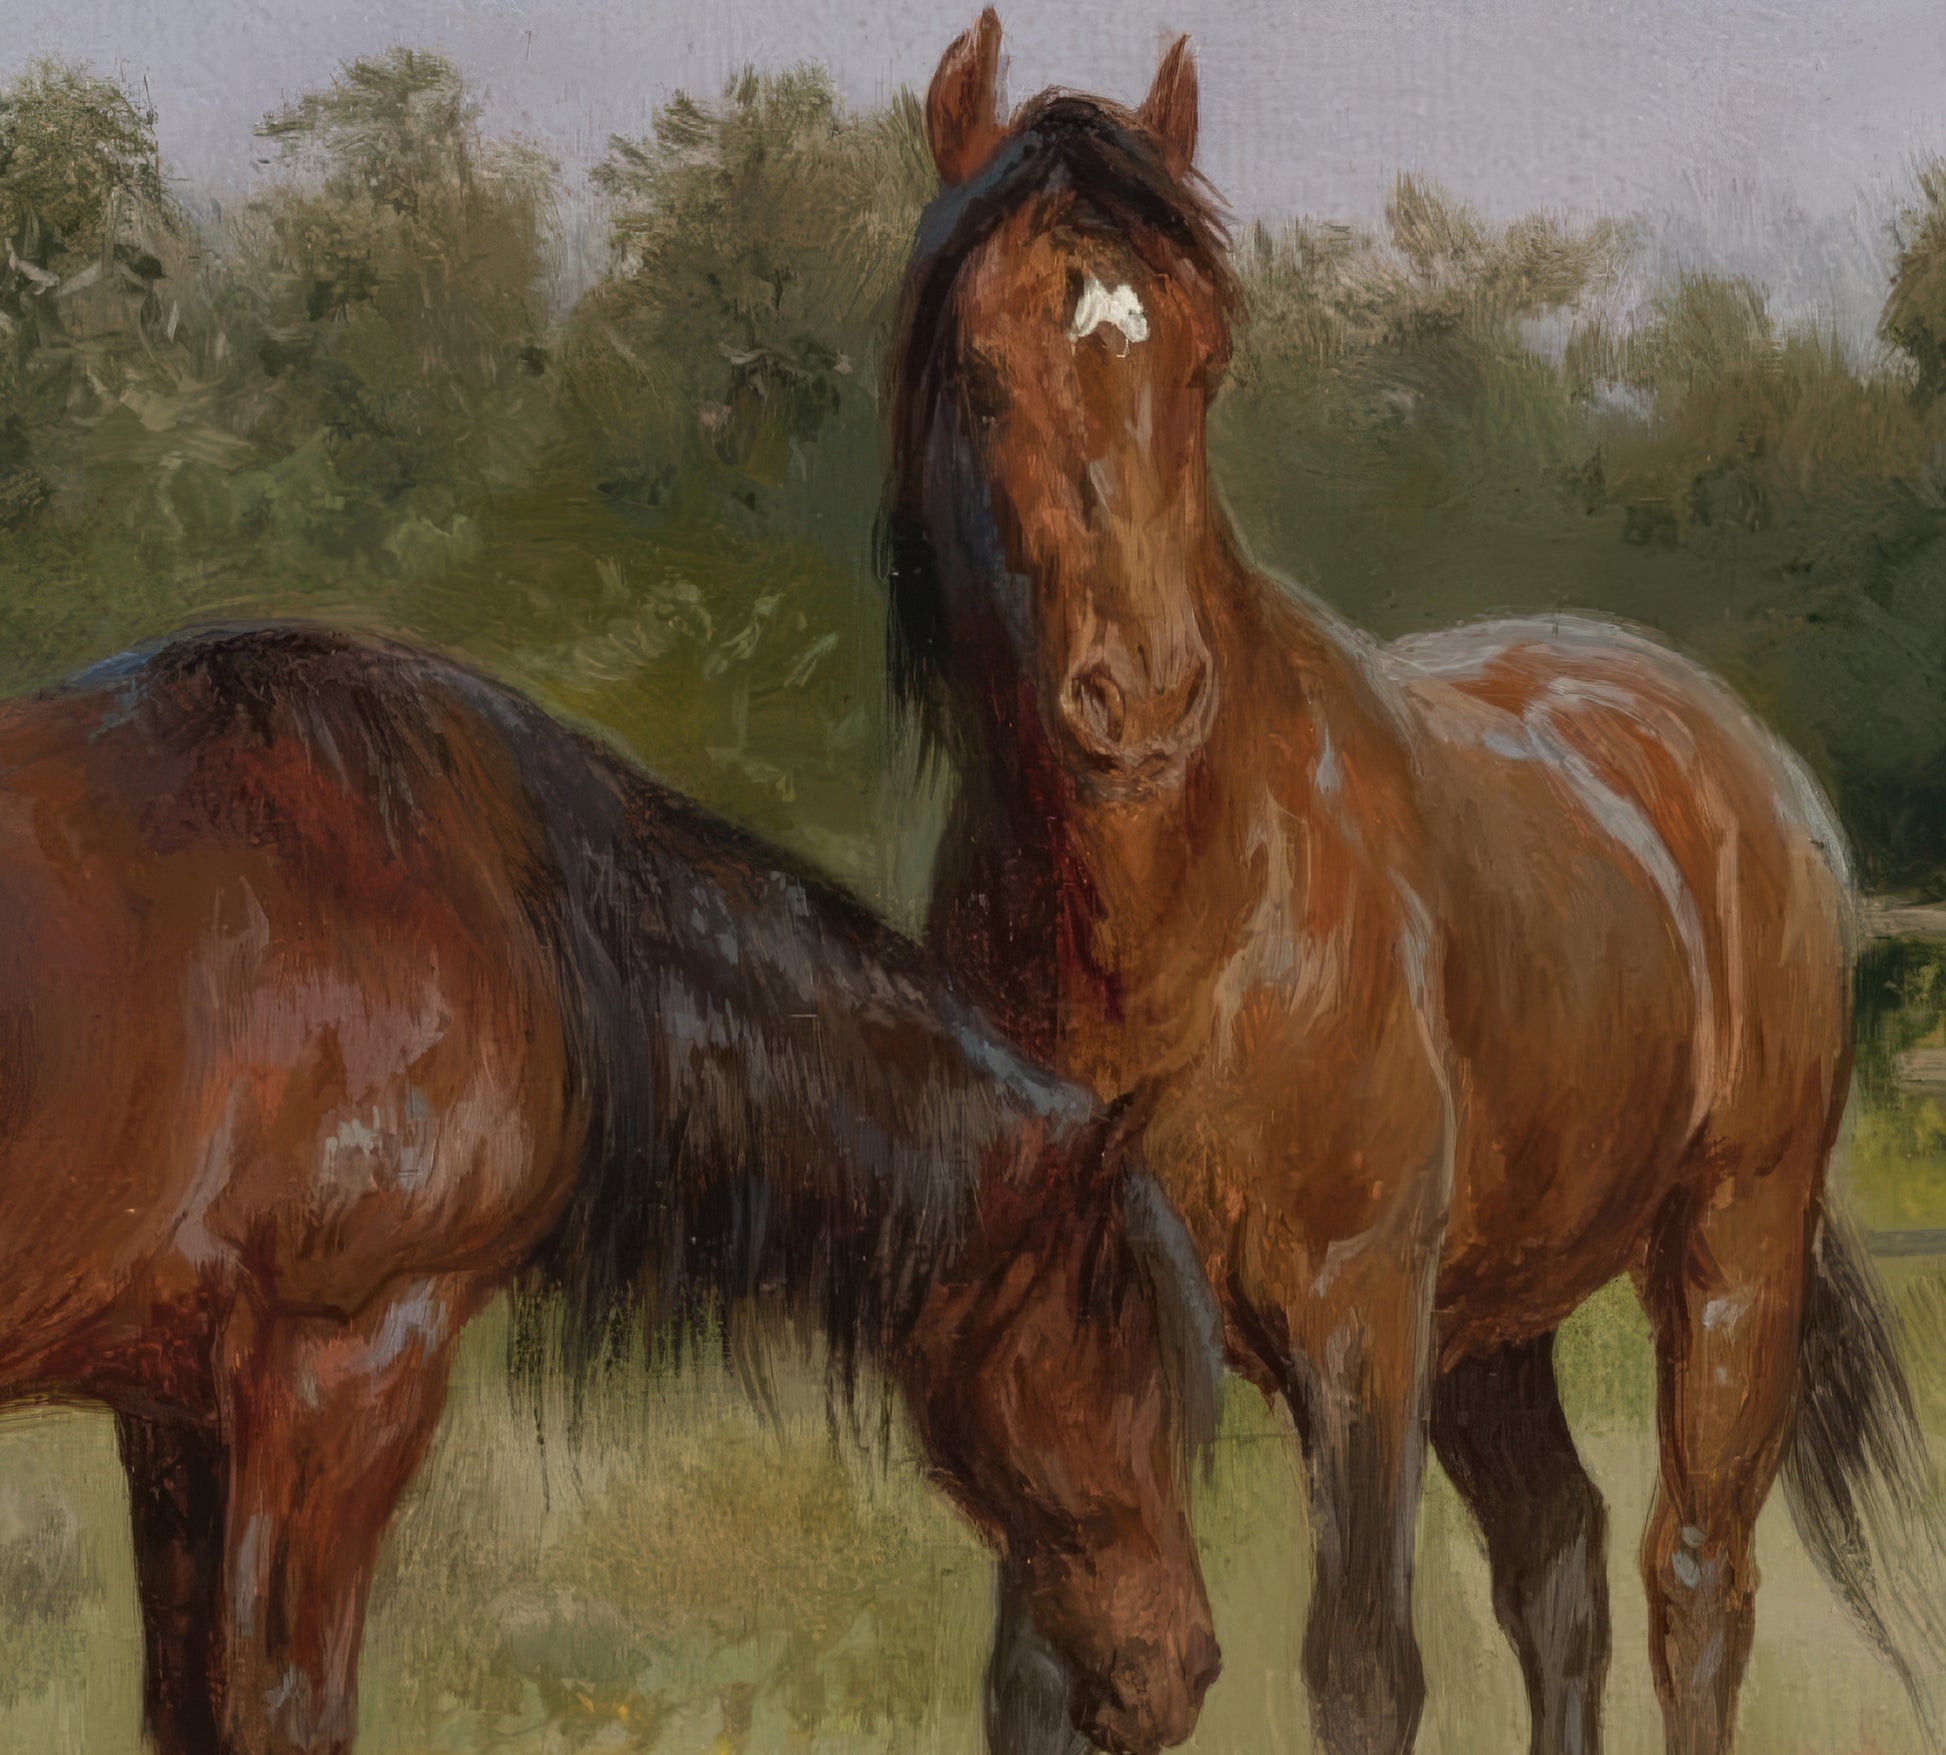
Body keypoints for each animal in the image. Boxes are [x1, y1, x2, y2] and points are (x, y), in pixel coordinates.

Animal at [884, 14, 1944, 1753]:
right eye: (978, 370)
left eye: (1201, 361)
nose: (1142, 698)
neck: (1178, 919)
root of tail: (1742, 765)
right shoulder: (1060, 1349)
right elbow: (1043, 1680)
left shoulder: (1357, 1321)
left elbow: (1363, 1663)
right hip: (1494, 1327)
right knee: (1561, 1563)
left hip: (1730, 1249)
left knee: (1693, 1575)